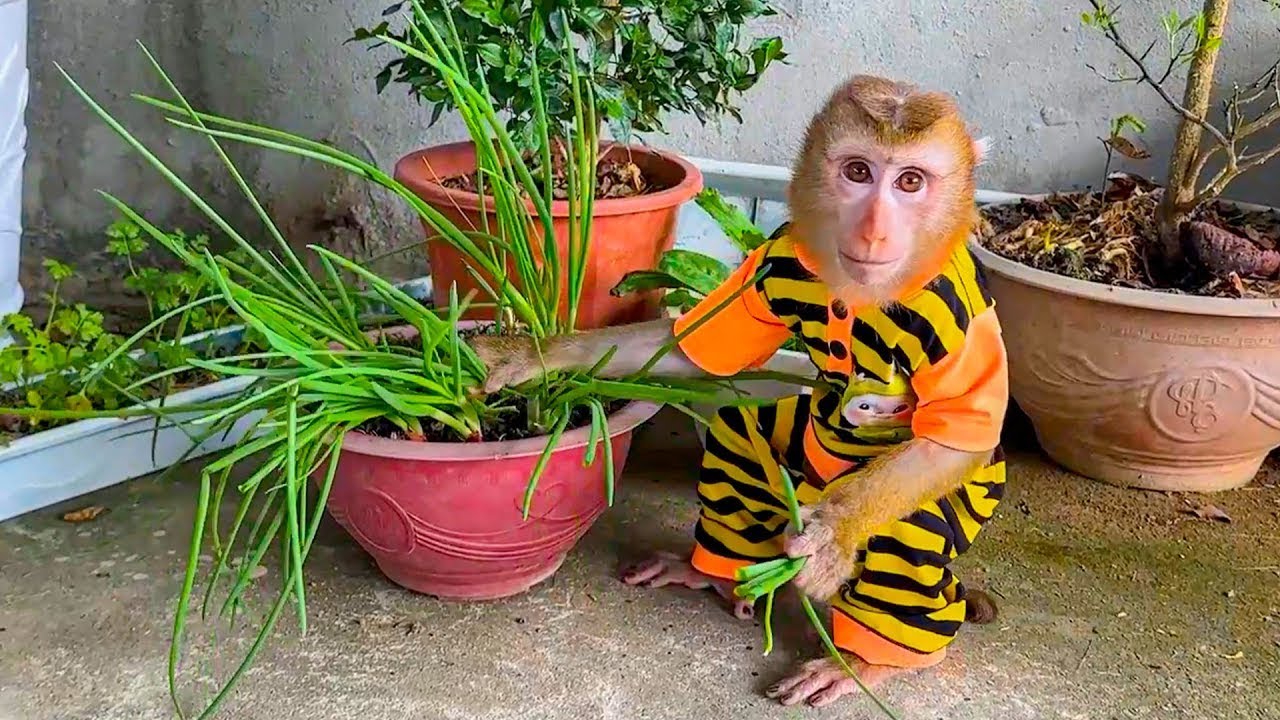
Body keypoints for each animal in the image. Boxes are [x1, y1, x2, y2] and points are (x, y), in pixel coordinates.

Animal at [471, 73, 1009, 710]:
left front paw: (834, 536)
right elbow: (683, 348)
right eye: (858, 172)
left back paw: (871, 661)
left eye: (910, 181)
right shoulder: (777, 258)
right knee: (740, 436)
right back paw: (715, 571)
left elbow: (950, 443)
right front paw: (531, 358)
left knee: (912, 533)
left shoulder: (955, 318)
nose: (875, 229)